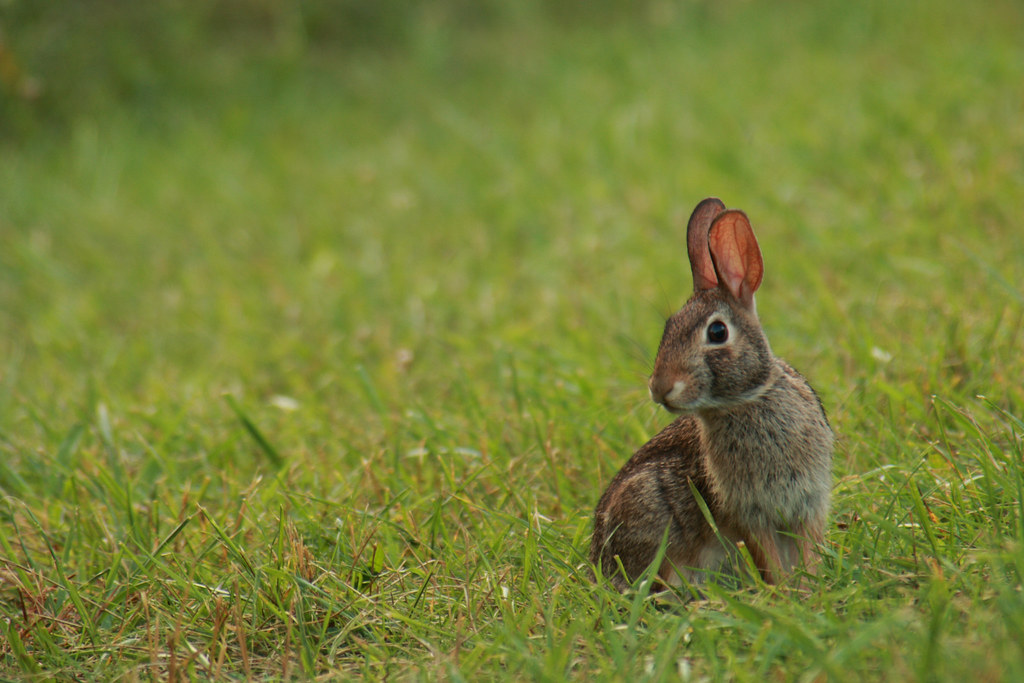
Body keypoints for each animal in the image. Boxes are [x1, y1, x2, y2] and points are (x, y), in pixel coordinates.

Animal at [589, 197, 833, 592]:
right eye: (668, 328)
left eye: (717, 332)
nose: (660, 388)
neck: (745, 401)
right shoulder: (747, 513)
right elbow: (767, 555)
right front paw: (785, 591)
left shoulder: (808, 500)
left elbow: (807, 548)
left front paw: (808, 587)